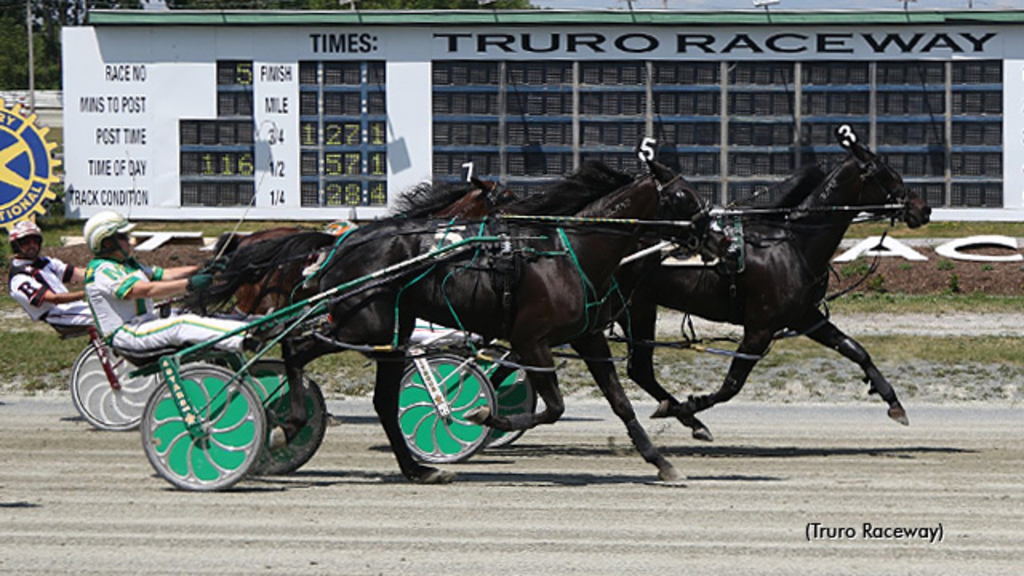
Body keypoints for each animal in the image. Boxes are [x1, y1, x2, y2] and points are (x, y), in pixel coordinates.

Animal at [207, 158, 704, 481]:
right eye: (683, 195)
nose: (714, 227)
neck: (567, 253)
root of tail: (345, 243)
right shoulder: (531, 340)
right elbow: (554, 407)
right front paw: (483, 414)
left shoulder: (587, 338)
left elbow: (619, 402)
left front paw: (660, 461)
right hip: (363, 323)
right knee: (295, 347)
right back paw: (287, 424)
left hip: (392, 332)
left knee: (383, 402)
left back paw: (417, 469)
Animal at [610, 126, 933, 438]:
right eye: (884, 172)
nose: (923, 208)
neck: (793, 244)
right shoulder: (760, 328)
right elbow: (732, 385)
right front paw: (688, 406)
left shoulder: (803, 315)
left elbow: (854, 349)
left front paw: (893, 401)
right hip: (634, 308)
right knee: (641, 369)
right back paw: (688, 417)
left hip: (638, 308)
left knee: (640, 370)